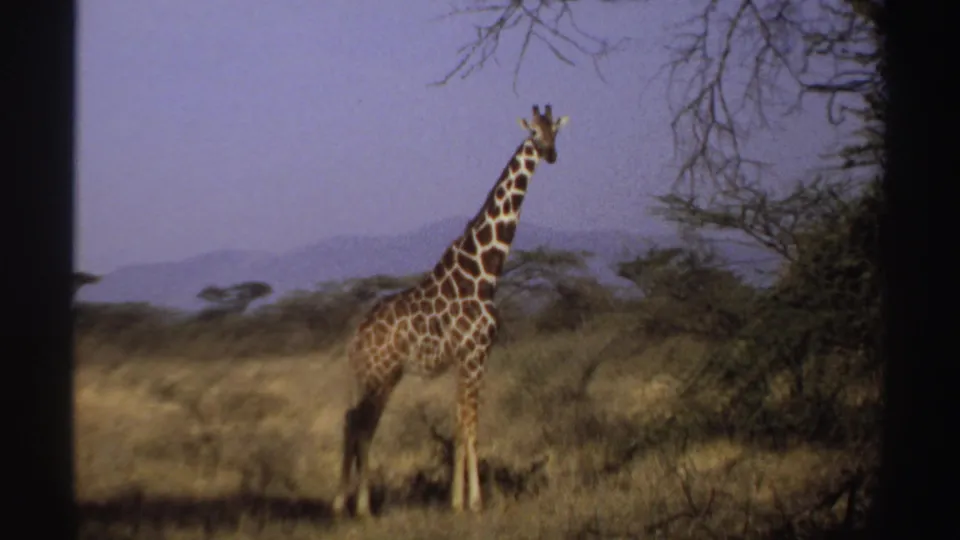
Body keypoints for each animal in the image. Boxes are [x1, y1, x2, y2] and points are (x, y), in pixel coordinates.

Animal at [331, 104, 570, 518]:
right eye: (534, 133)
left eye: (554, 130)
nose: (550, 154)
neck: (484, 271)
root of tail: (355, 340)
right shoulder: (475, 353)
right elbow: (471, 426)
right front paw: (475, 501)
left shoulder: (467, 358)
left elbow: (461, 425)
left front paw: (456, 500)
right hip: (379, 375)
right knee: (361, 427)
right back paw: (360, 507)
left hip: (377, 377)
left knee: (355, 423)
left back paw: (345, 504)